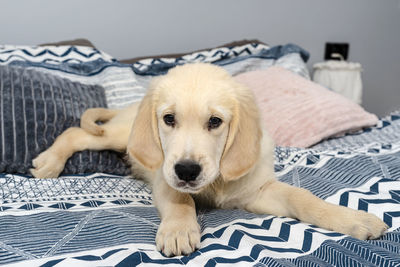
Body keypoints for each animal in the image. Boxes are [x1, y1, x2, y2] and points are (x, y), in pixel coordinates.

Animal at [31, 62, 388, 258]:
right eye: (169, 119)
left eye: (215, 122)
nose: (188, 170)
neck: (214, 181)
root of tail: (129, 107)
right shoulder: (165, 175)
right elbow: (181, 199)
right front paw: (178, 230)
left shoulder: (257, 192)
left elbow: (302, 197)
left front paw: (352, 218)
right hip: (126, 137)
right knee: (77, 133)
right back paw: (49, 161)